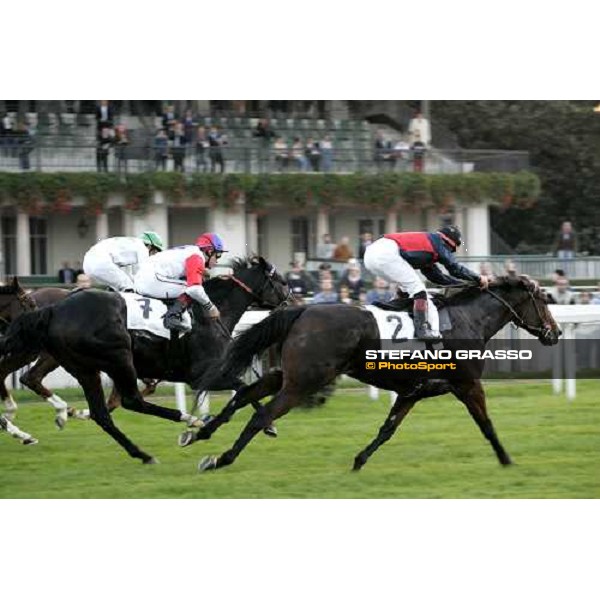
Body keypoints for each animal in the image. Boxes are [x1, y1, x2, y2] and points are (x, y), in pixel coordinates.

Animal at [0, 255, 290, 462]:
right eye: (282, 281)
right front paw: (266, 424)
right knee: (131, 401)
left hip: (84, 368)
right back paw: (187, 419)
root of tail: (52, 309)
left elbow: (246, 389)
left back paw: (139, 450)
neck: (211, 313)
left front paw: (269, 425)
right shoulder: (203, 375)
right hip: (118, 358)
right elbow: (243, 388)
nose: (292, 300)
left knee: (101, 413)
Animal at [193, 276, 564, 474]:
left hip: (286, 374)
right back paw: (221, 458)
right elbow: (486, 425)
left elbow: (387, 429)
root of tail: (303, 309)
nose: (556, 333)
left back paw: (200, 433)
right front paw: (506, 458)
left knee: (244, 396)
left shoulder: (412, 392)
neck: (468, 320)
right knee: (263, 414)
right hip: (304, 382)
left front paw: (359, 461)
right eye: (544, 301)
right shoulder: (467, 384)